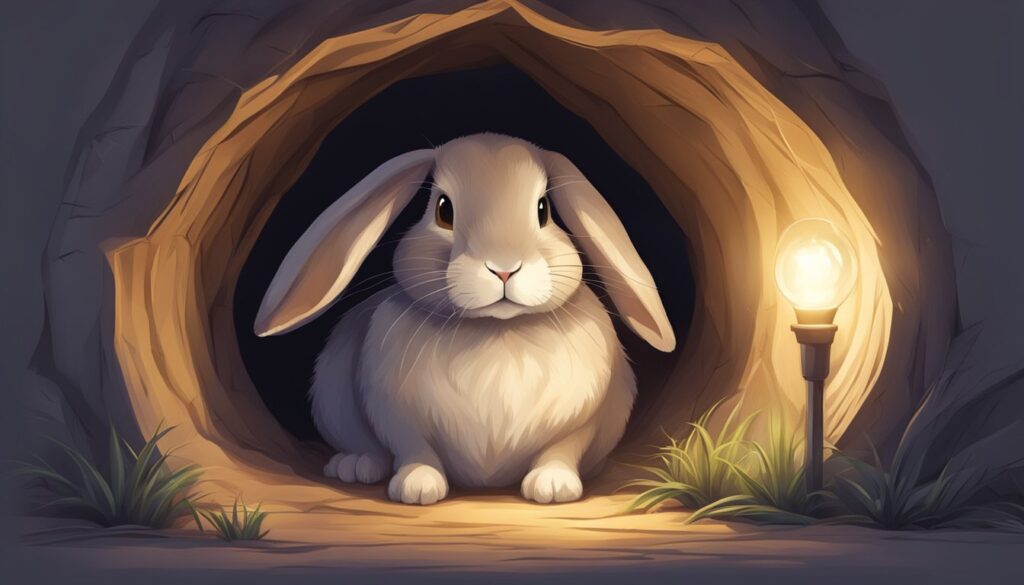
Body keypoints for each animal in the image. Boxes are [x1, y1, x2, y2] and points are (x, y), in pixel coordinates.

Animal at [254, 133, 675, 505]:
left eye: (543, 210)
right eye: (443, 209)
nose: (504, 268)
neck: (497, 330)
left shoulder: (583, 421)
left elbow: (562, 449)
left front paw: (554, 486)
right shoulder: (394, 416)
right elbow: (413, 449)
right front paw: (417, 486)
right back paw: (355, 466)